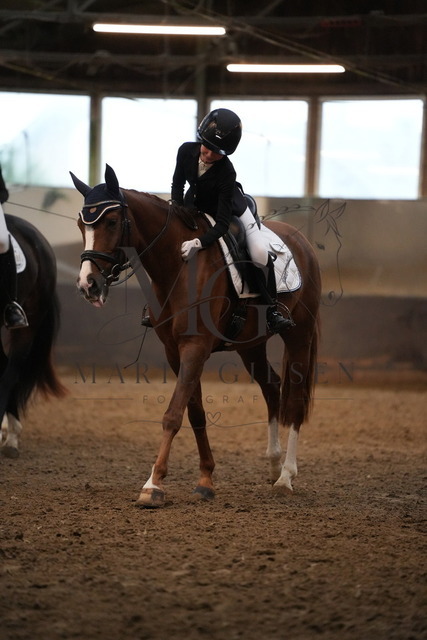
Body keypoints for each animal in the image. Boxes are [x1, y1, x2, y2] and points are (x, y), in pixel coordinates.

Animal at [71, 165, 321, 507]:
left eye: (111, 222)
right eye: (81, 224)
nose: (88, 284)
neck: (177, 265)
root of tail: (302, 241)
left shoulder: (195, 347)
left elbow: (173, 414)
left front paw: (153, 485)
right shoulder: (174, 351)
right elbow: (195, 413)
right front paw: (205, 480)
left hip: (299, 336)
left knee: (294, 401)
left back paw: (286, 477)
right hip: (250, 345)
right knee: (272, 388)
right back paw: (273, 464)